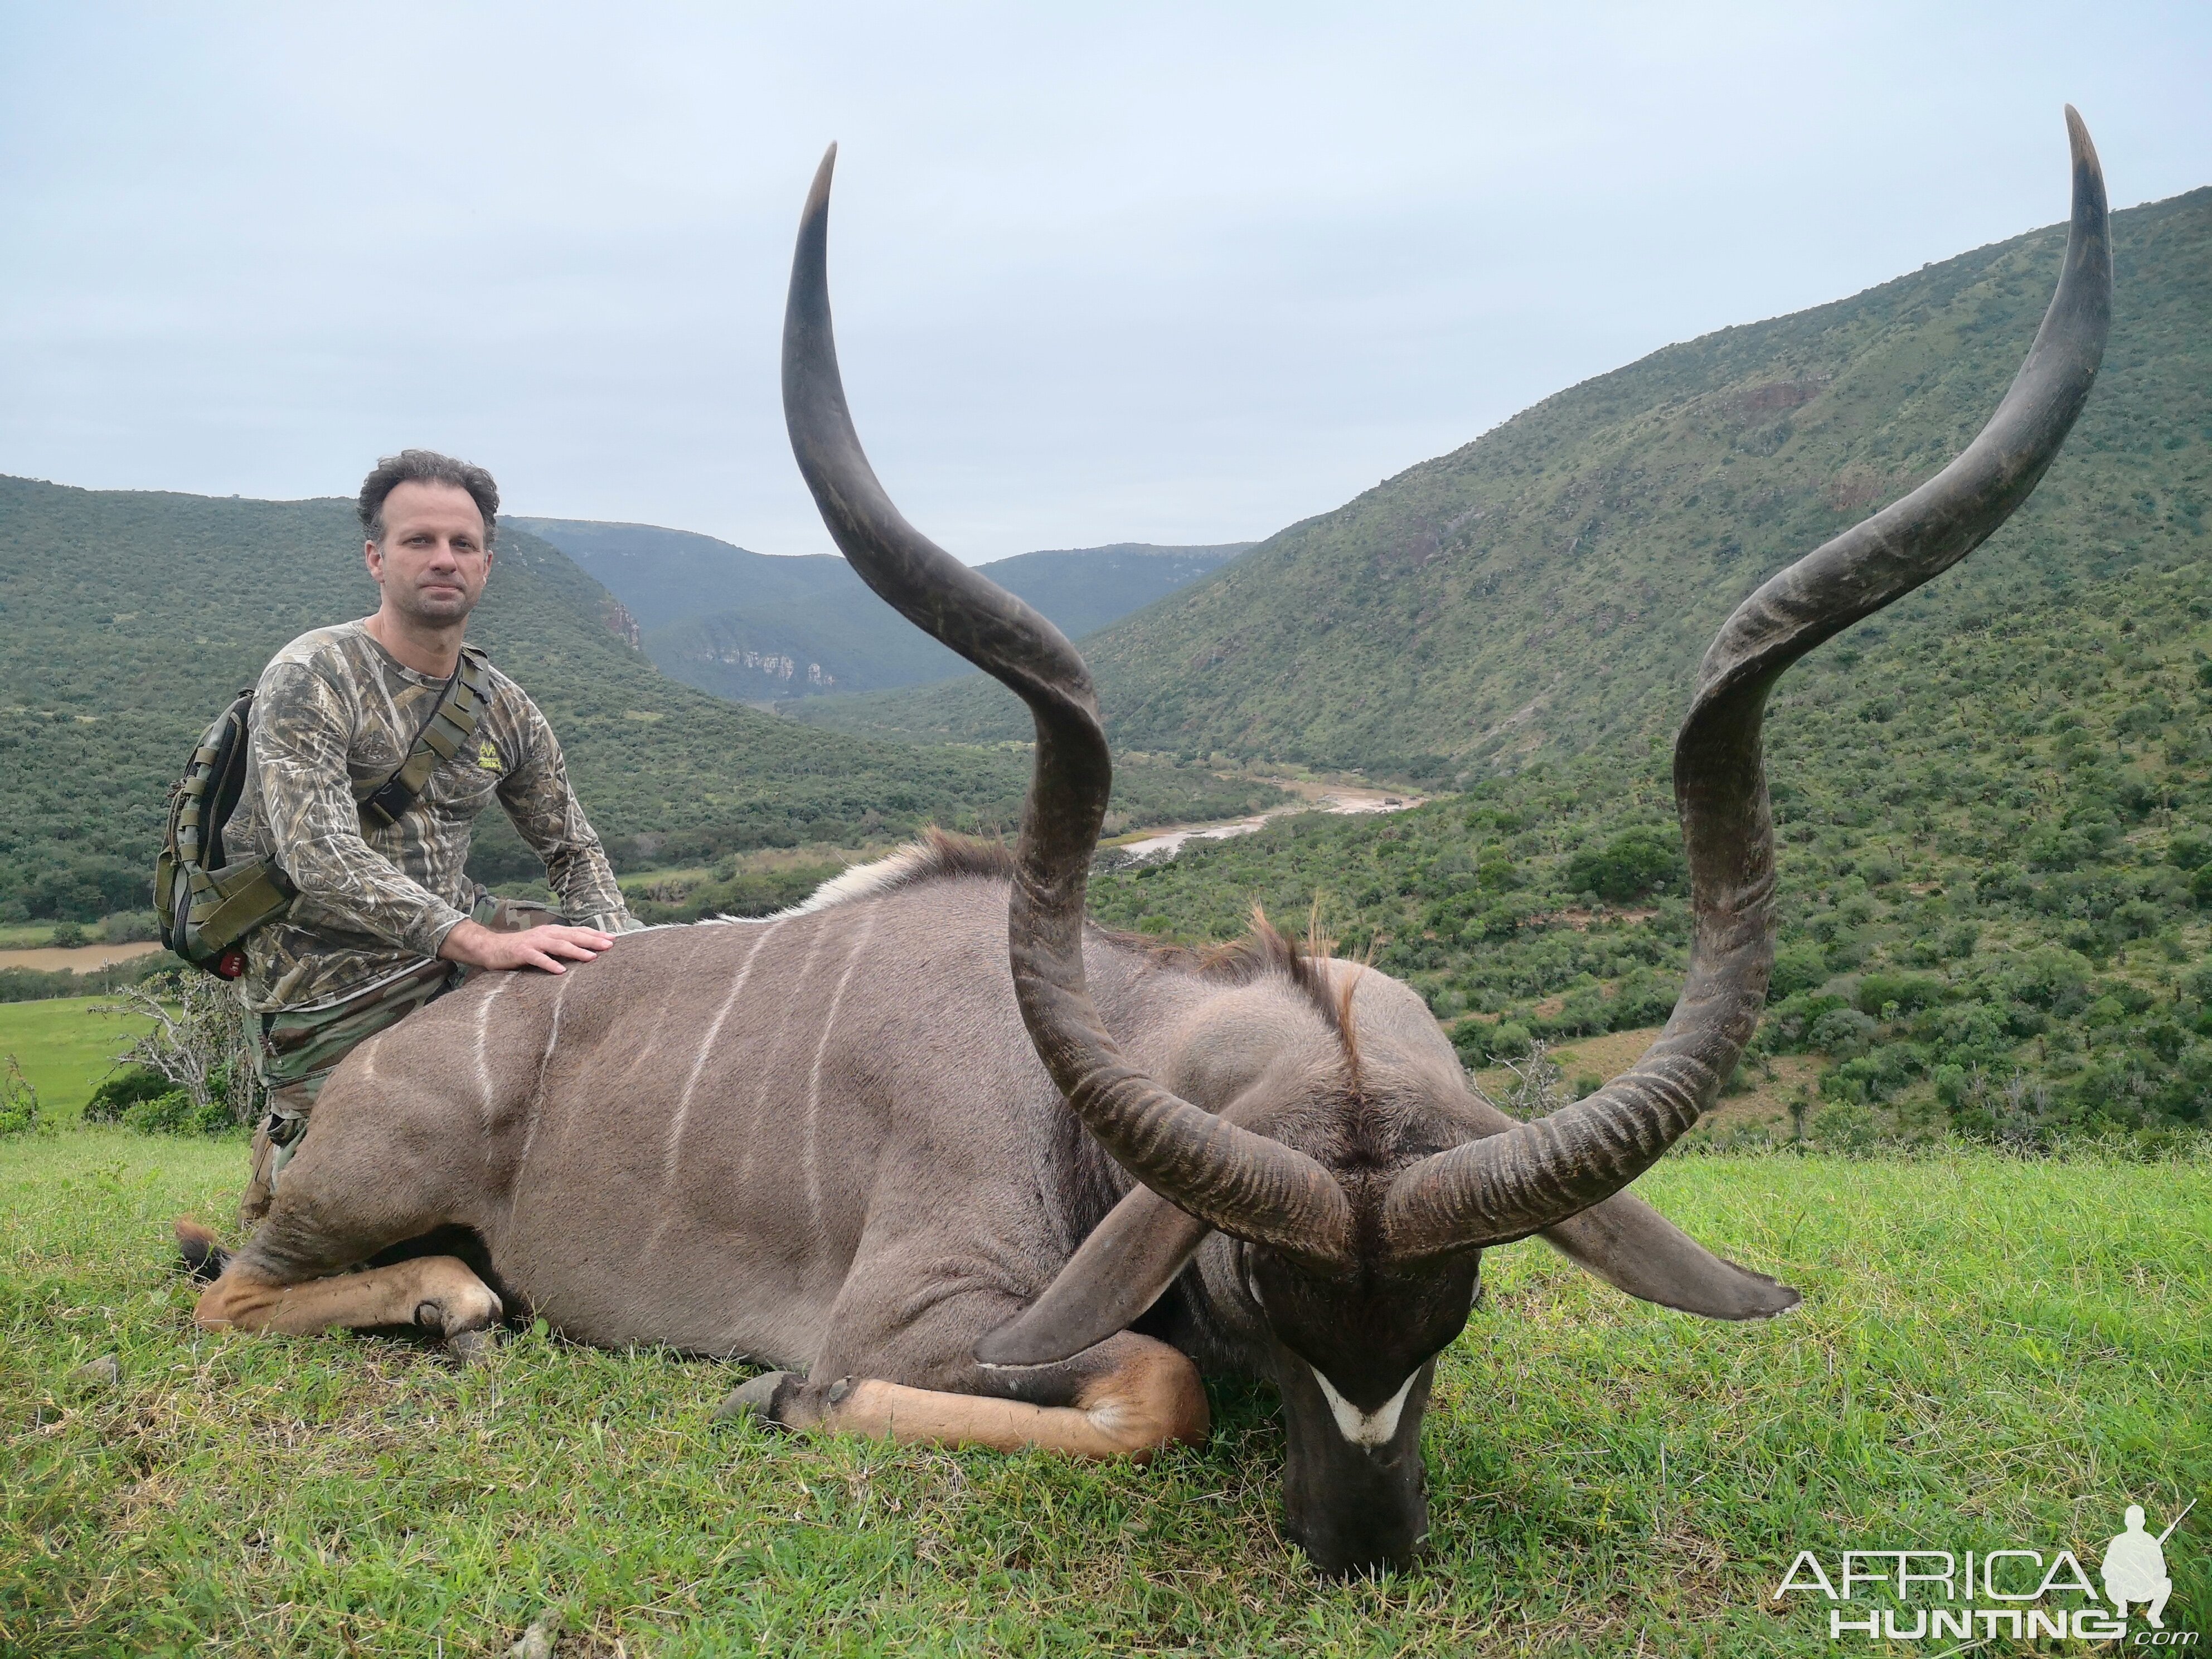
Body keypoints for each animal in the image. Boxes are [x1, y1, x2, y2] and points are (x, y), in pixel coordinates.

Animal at [181, 114, 2114, 1575]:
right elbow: (1139, 1392)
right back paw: (446, 1298)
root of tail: (347, 1083)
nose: (1359, 1546)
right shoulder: (922, 1309)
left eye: (1458, 1308)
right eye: (1255, 1288)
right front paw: (773, 1393)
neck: (1094, 1062)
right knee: (237, 1289)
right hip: (358, 1198)